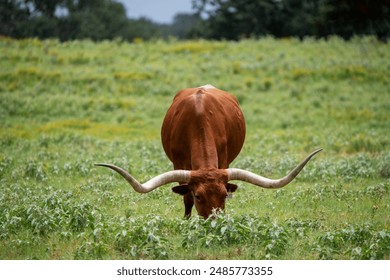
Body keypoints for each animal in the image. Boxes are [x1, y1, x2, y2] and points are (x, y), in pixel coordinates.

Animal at [96, 85, 322, 219]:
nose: (215, 222)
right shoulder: (179, 164)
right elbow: (185, 197)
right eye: (198, 196)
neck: (198, 120)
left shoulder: (223, 160)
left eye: (223, 195)